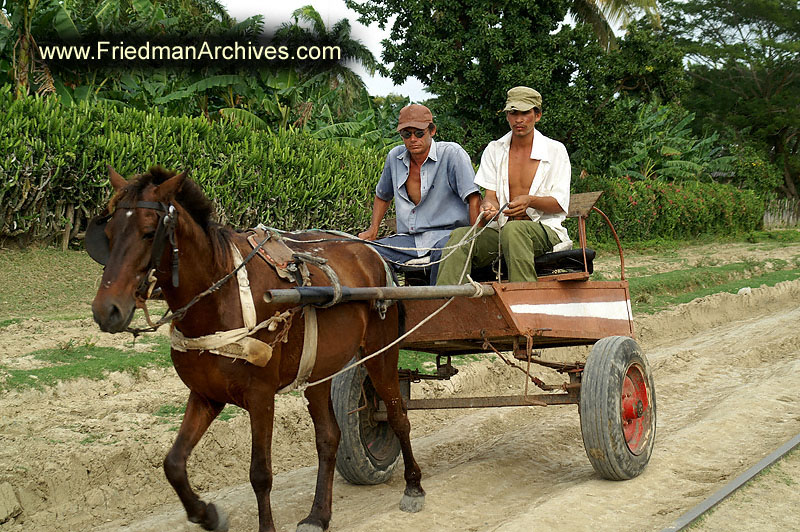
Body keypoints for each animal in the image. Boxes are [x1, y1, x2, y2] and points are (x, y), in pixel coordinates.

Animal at [89, 167, 424, 532]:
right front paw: (207, 514)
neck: (220, 299)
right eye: (109, 233)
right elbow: (173, 464)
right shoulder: (206, 395)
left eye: (149, 233)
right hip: (318, 370)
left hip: (381, 354)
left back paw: (413, 485)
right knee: (329, 438)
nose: (106, 310)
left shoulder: (261, 395)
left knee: (398, 416)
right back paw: (318, 515)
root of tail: (372, 253)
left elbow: (260, 473)